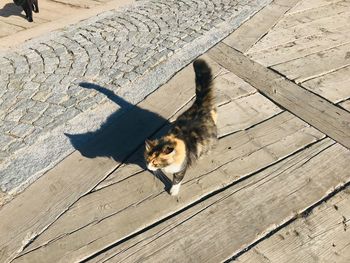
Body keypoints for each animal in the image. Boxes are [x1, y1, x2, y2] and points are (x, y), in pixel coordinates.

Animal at [144, 59, 216, 196]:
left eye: (155, 162)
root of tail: (199, 105)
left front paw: (173, 191)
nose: (148, 167)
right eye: (147, 159)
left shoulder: (181, 168)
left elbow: (177, 179)